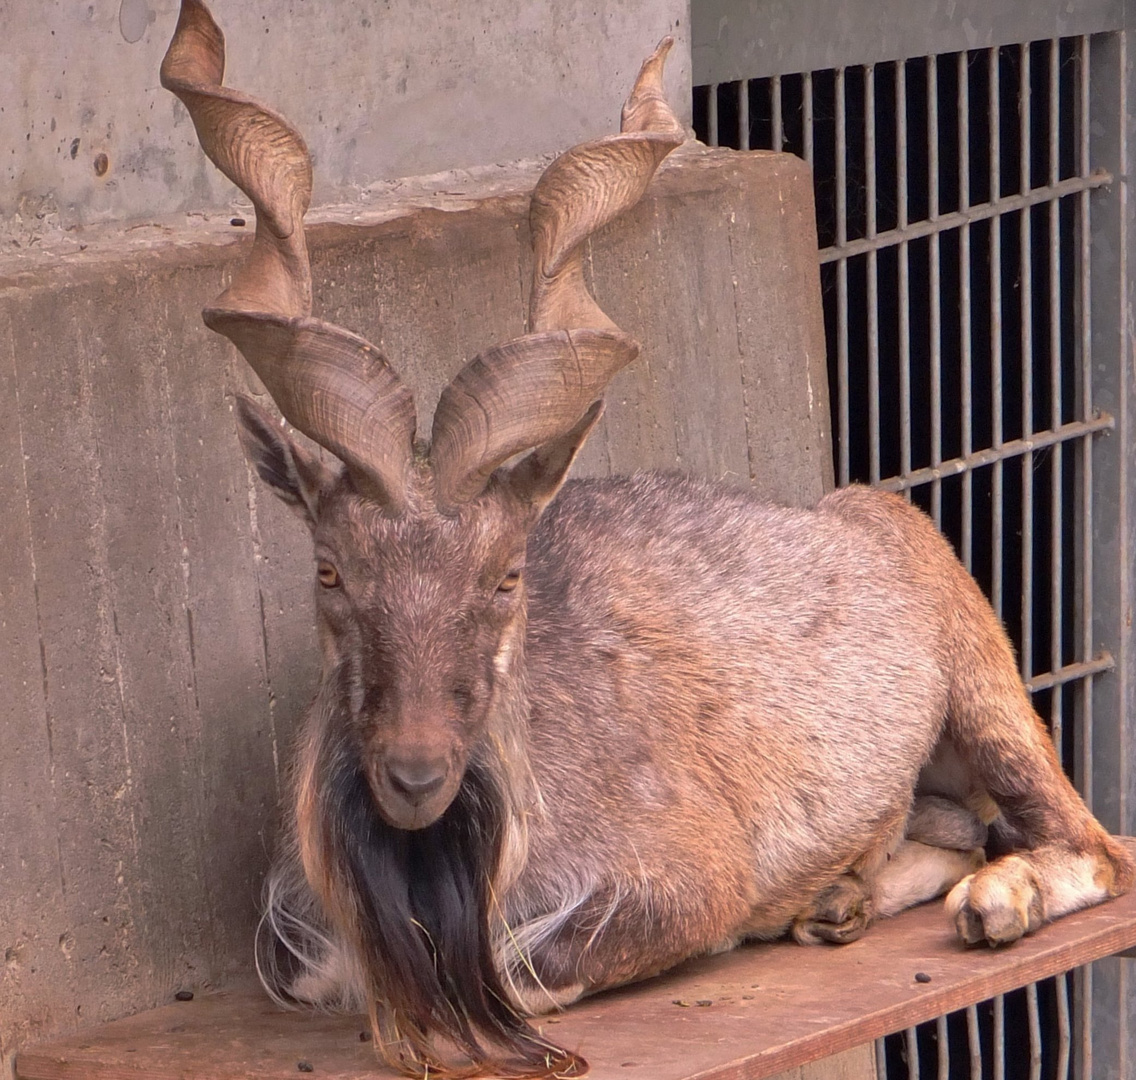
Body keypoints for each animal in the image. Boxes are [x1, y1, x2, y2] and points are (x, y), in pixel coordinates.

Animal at [162, 4, 1136, 1076]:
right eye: (331, 570)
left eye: (506, 576)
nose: (414, 775)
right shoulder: (297, 941)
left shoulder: (685, 872)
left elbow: (537, 973)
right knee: (959, 826)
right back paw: (841, 900)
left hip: (982, 682)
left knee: (1093, 845)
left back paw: (990, 902)